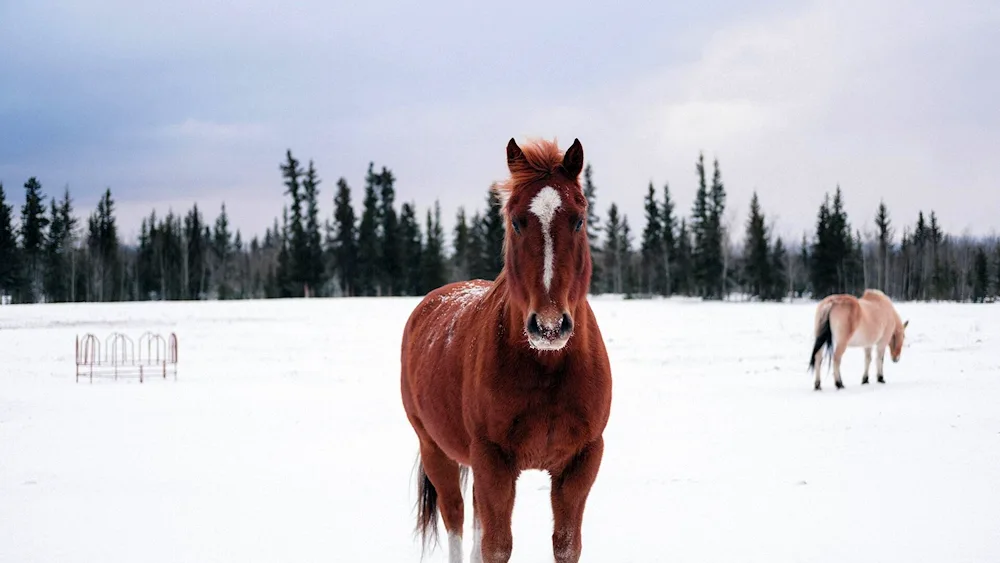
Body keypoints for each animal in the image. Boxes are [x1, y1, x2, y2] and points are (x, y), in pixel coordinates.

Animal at [398, 138, 608, 563]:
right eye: (516, 221)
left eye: (578, 219)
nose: (549, 325)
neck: (547, 368)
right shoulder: (492, 460)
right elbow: (496, 547)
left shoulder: (582, 461)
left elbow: (566, 545)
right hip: (436, 450)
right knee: (457, 520)